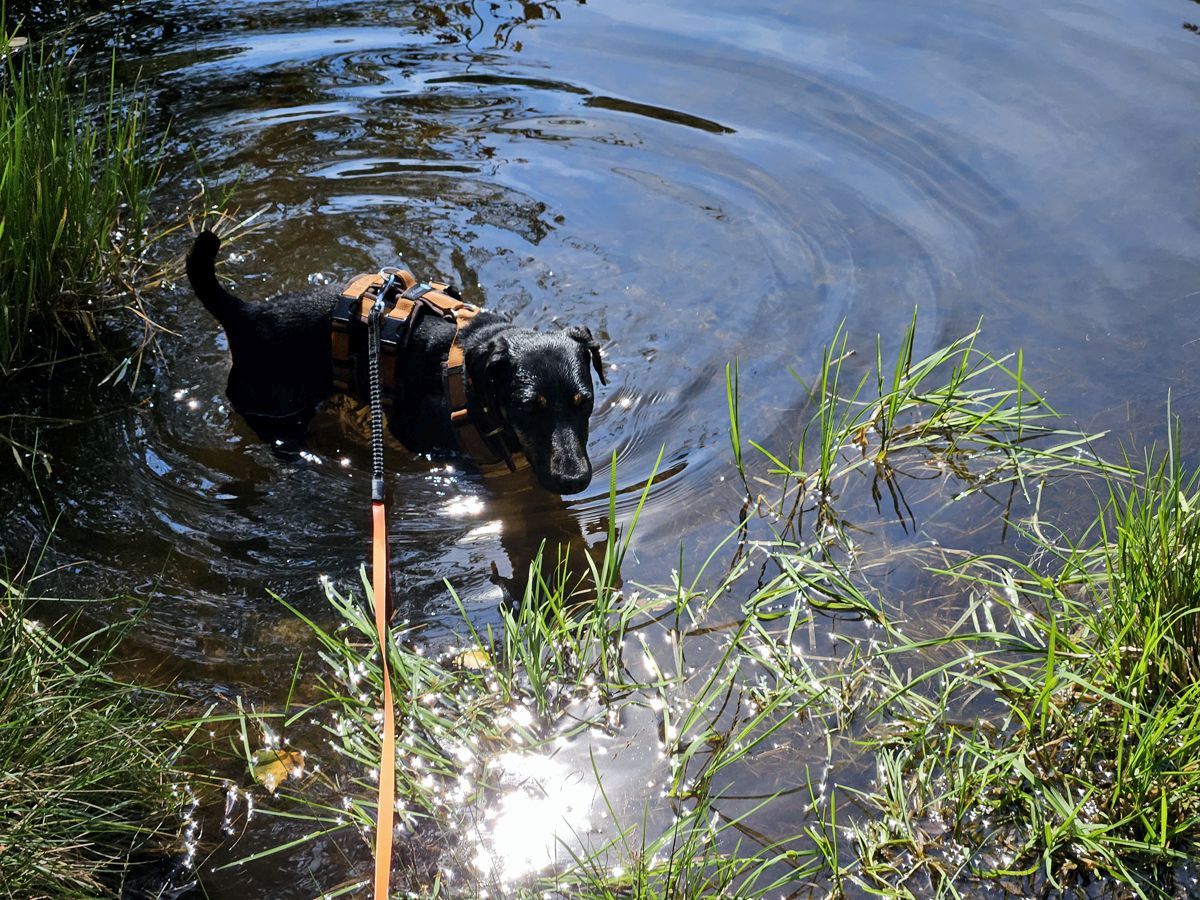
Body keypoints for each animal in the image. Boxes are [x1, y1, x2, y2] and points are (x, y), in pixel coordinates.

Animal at [186, 229, 604, 496]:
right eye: (527, 407)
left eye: (585, 402)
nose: (575, 481)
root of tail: (245, 315)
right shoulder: (422, 436)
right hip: (276, 413)